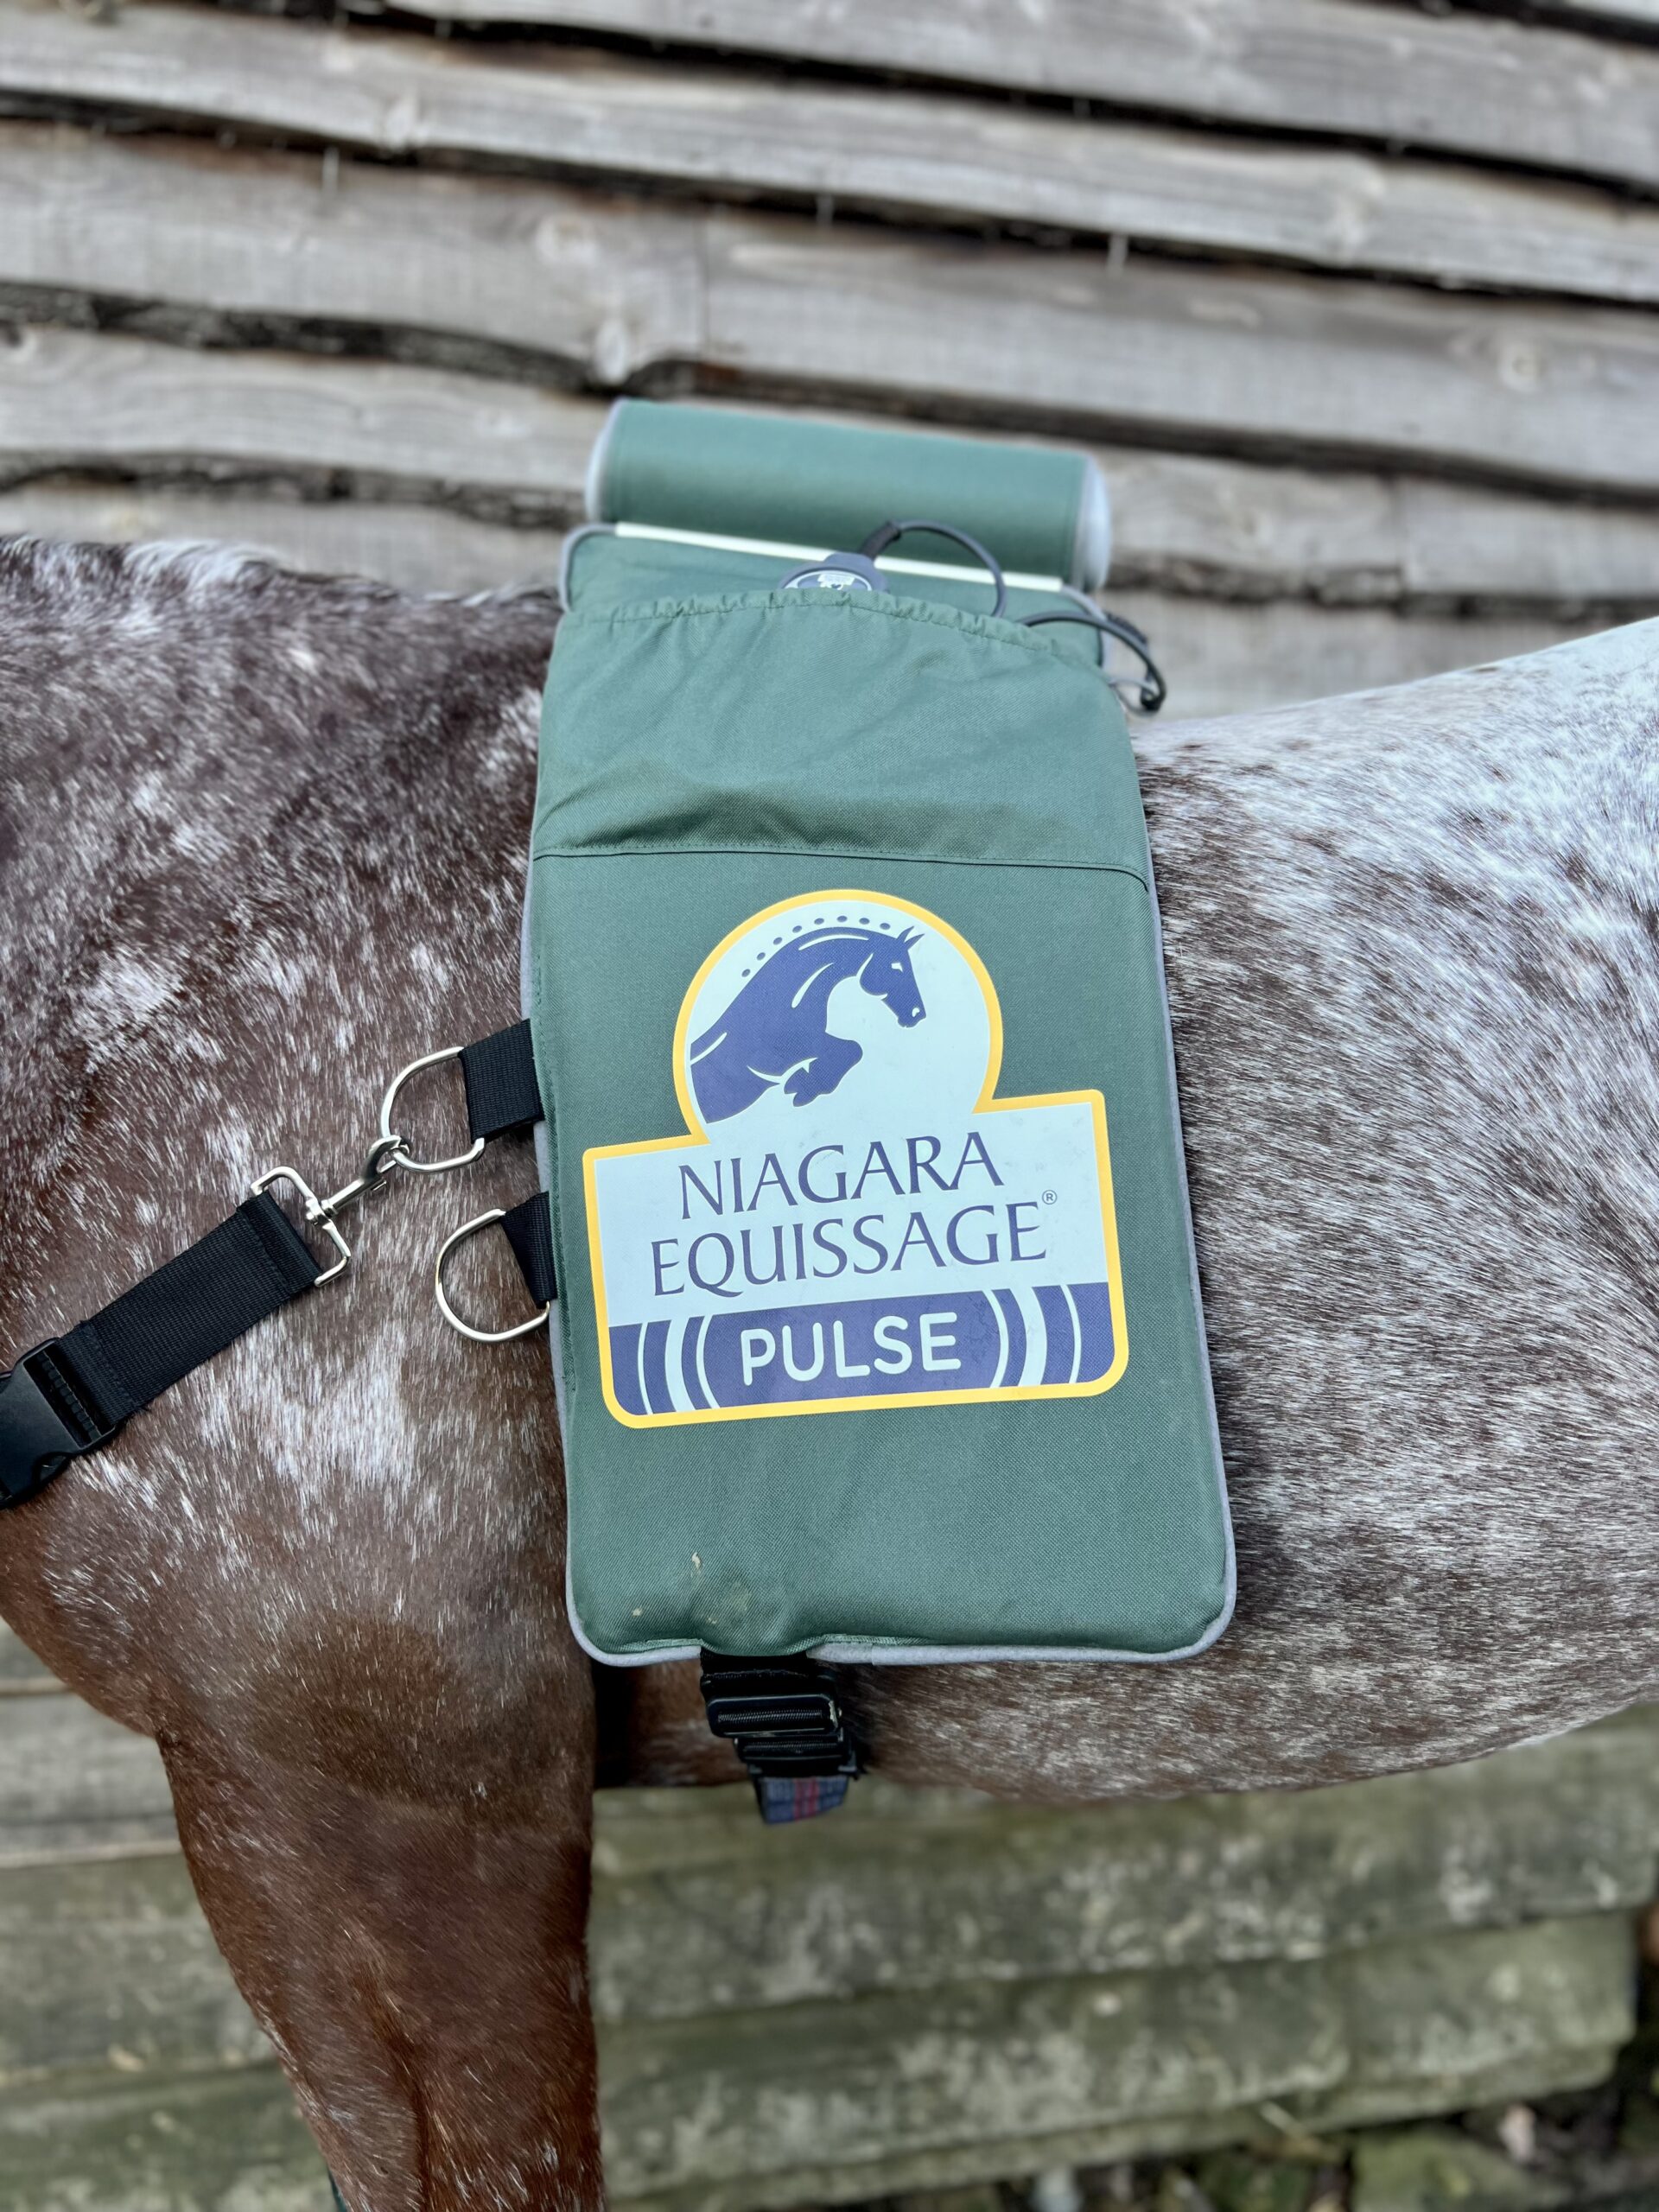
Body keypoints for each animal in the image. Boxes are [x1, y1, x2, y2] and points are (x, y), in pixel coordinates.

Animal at [688, 921, 927, 1122]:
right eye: (896, 966)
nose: (918, 1014)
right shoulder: (769, 1061)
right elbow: (853, 1047)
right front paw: (805, 1086)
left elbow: (851, 1048)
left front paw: (806, 1083)